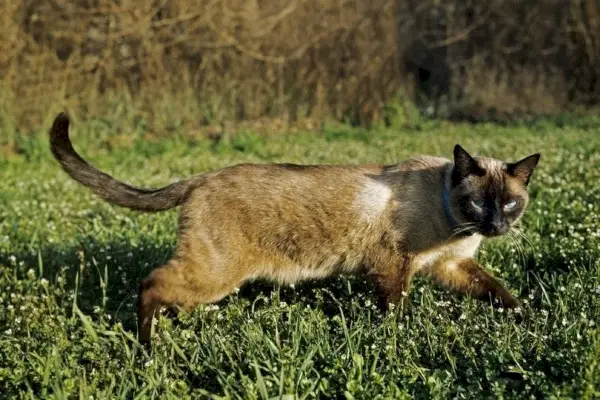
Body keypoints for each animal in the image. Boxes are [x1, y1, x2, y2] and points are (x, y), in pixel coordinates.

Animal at [49, 111, 540, 344]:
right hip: (214, 276)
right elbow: (397, 314)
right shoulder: (393, 269)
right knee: (150, 284)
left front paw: (526, 320)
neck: (454, 226)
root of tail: (203, 177)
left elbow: (500, 292)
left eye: (510, 203)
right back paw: (148, 349)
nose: (495, 225)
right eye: (477, 202)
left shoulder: (451, 267)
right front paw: (398, 341)